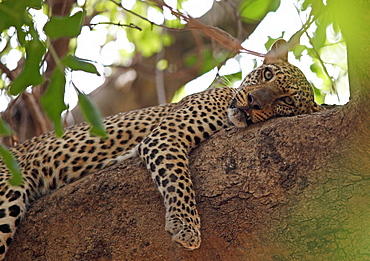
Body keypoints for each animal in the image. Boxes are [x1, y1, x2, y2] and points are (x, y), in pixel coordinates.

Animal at [0, 39, 322, 258]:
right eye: (267, 74)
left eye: (287, 101)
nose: (254, 101)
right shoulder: (166, 135)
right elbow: (179, 180)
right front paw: (185, 225)